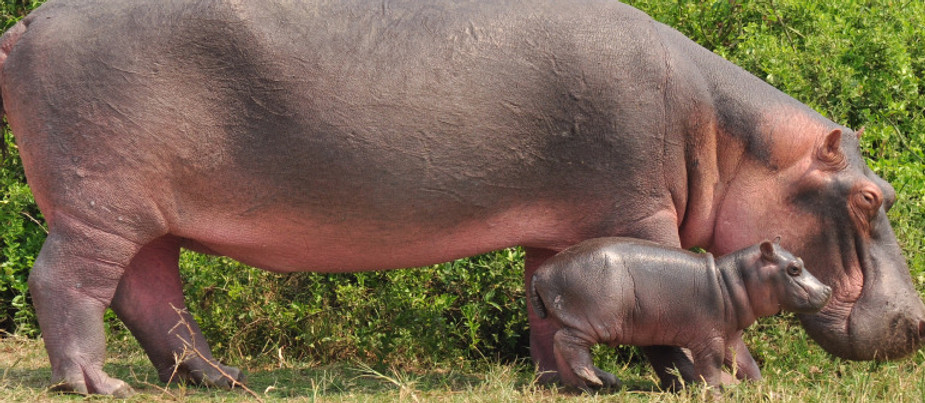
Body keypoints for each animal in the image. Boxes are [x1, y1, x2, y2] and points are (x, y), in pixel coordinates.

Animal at [530, 237, 832, 391]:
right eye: (794, 269)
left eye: (800, 262)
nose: (828, 289)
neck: (732, 279)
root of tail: (540, 272)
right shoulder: (708, 337)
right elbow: (710, 366)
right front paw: (715, 394)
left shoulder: (730, 334)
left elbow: (745, 361)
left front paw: (760, 388)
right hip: (594, 322)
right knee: (568, 344)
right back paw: (598, 380)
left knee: (559, 345)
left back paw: (583, 387)